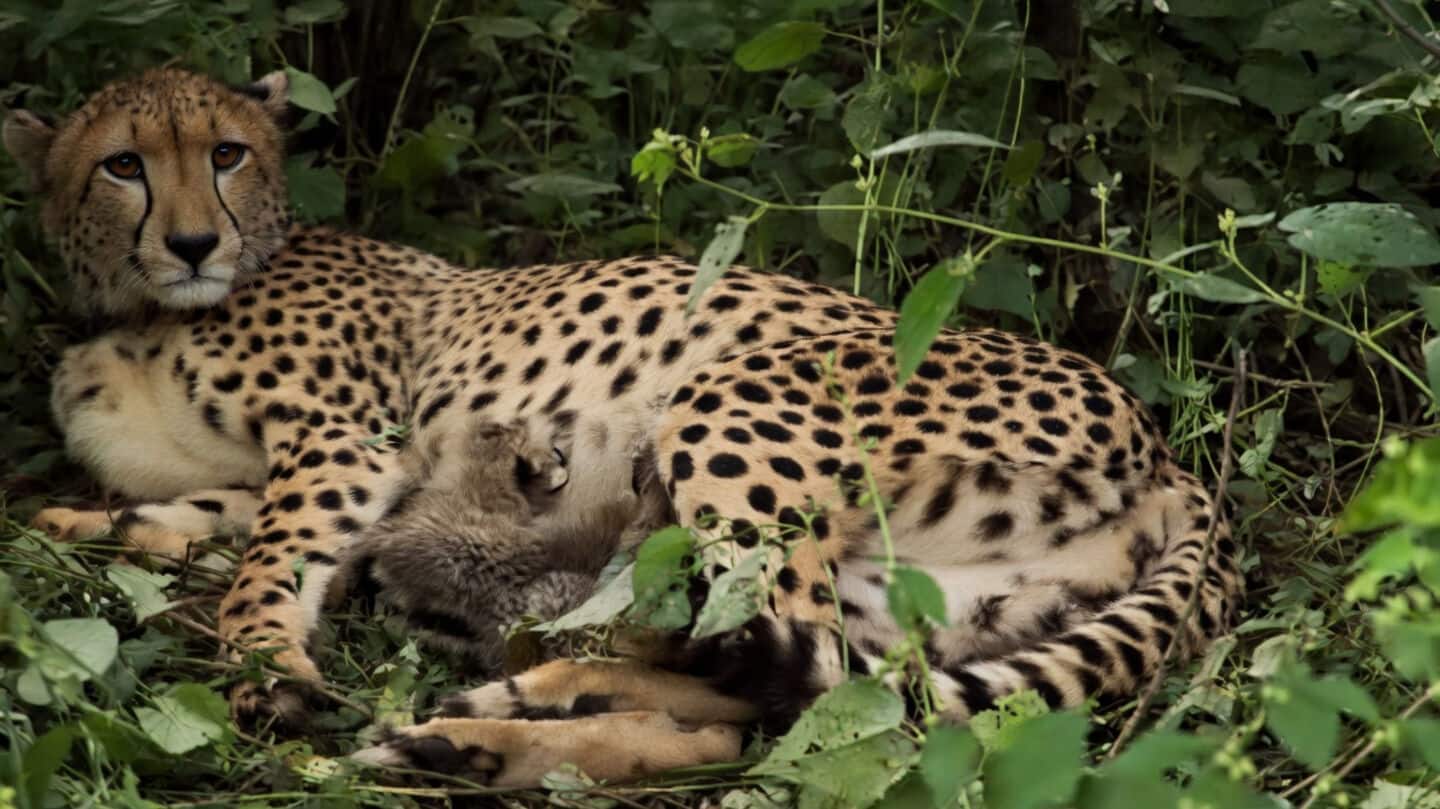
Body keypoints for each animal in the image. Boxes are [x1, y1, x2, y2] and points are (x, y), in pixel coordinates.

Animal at [5, 67, 1244, 786]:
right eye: (122, 164)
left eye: (227, 152)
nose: (192, 242)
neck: (145, 309)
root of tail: (1176, 456)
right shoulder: (292, 475)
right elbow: (175, 518)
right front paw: (68, 526)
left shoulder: (345, 440)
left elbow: (265, 559)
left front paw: (264, 661)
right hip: (921, 590)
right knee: (784, 696)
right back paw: (484, 727)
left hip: (733, 406)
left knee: (802, 692)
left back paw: (502, 717)